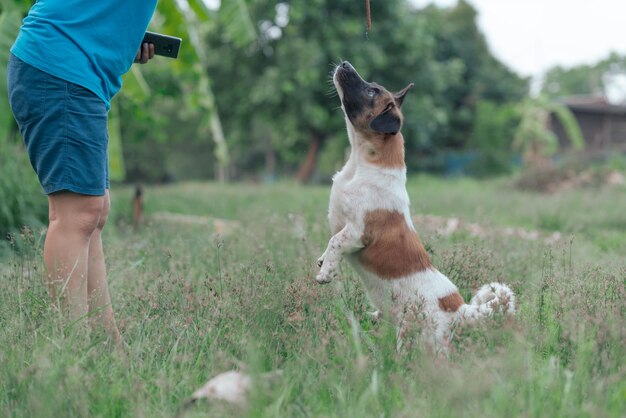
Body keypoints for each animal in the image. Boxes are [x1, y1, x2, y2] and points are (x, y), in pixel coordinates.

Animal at [314, 61, 516, 356]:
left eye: (372, 91)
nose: (344, 64)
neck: (361, 166)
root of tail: (459, 309)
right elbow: (330, 241)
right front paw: (322, 260)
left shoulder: (358, 232)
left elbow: (335, 241)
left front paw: (326, 272)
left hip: (416, 337)